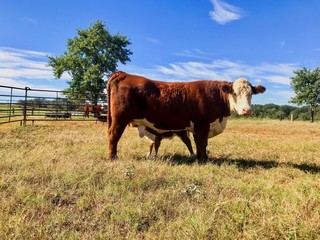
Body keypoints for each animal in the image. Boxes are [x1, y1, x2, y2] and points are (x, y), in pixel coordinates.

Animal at [106, 71, 266, 161]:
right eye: (235, 93)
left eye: (251, 93)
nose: (246, 110)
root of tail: (123, 74)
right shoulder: (202, 125)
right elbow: (202, 143)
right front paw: (203, 160)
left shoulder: (196, 127)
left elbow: (198, 143)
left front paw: (201, 157)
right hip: (119, 119)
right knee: (114, 136)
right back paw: (113, 157)